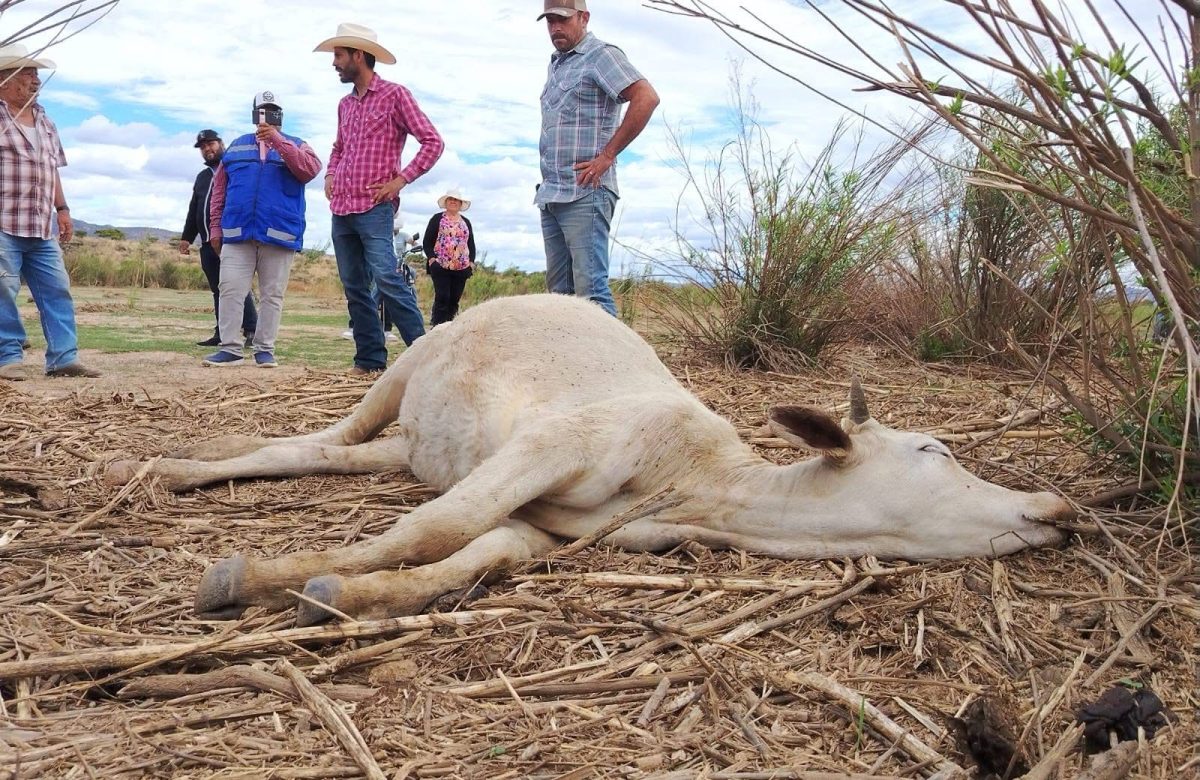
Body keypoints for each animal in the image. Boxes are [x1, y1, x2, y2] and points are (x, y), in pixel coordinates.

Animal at [106, 294, 1073, 626]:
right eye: (934, 449)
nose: (1059, 510)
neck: (697, 488)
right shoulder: (555, 445)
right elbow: (439, 528)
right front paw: (257, 577)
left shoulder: (553, 530)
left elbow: (478, 553)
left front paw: (345, 591)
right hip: (412, 363)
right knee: (329, 437)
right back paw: (167, 470)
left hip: (415, 441)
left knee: (336, 456)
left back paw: (197, 455)